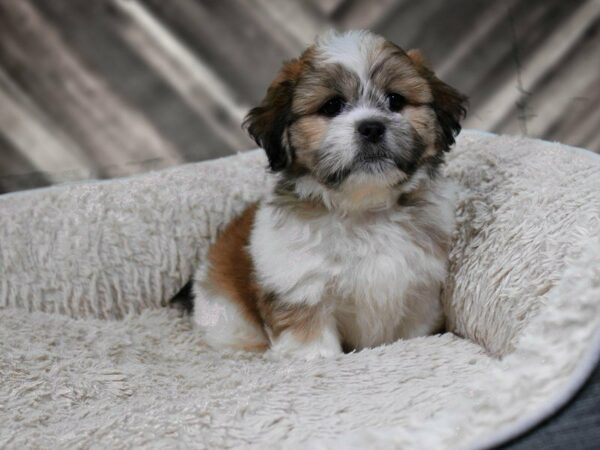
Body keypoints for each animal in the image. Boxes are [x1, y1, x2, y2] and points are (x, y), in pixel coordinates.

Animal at [176, 29, 466, 358]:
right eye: (332, 106)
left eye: (395, 100)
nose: (371, 127)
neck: (364, 210)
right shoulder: (300, 286)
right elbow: (310, 339)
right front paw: (317, 359)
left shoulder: (421, 293)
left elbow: (413, 333)